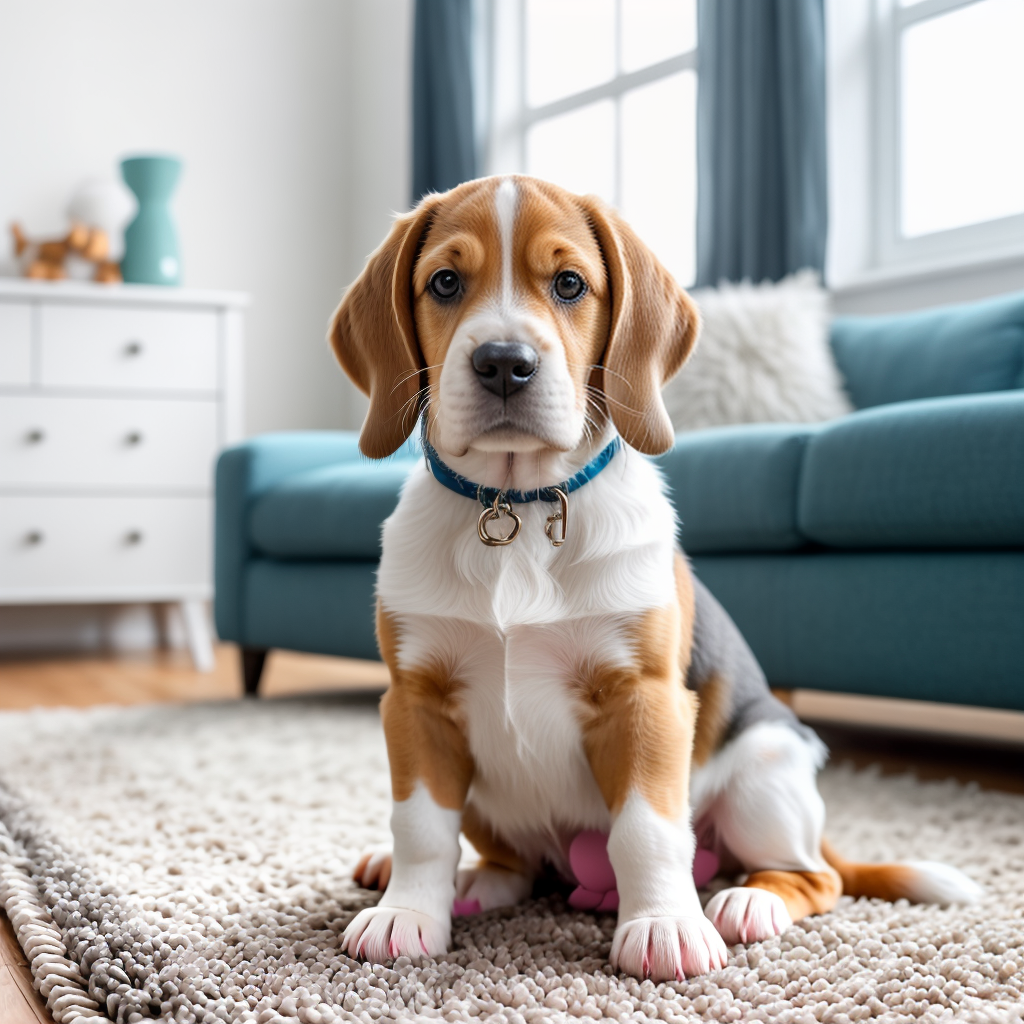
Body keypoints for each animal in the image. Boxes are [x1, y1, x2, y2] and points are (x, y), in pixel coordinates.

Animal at [329, 178, 983, 983]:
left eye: (570, 284)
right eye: (445, 283)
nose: (505, 362)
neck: (518, 508)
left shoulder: (646, 699)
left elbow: (646, 829)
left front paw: (664, 924)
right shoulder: (416, 702)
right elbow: (422, 825)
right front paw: (411, 912)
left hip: (765, 770)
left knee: (812, 876)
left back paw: (746, 902)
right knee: (511, 861)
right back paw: (472, 883)